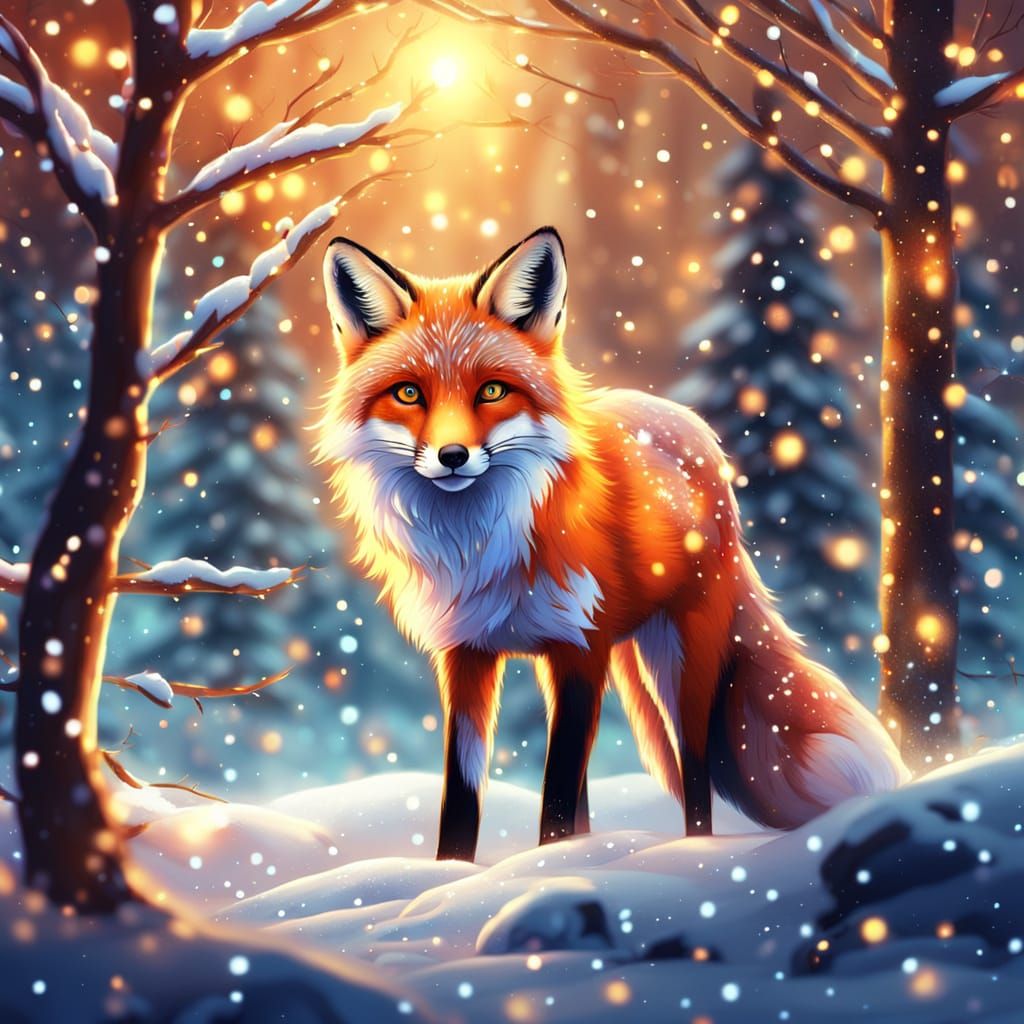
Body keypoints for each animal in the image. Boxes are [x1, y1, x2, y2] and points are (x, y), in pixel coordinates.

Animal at [316, 226, 909, 862]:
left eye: (492, 391)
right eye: (408, 394)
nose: (453, 456)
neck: (479, 548)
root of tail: (689, 425)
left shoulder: (581, 648)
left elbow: (556, 791)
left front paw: (551, 864)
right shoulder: (469, 655)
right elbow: (464, 798)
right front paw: (453, 874)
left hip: (679, 663)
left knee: (694, 774)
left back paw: (694, 851)